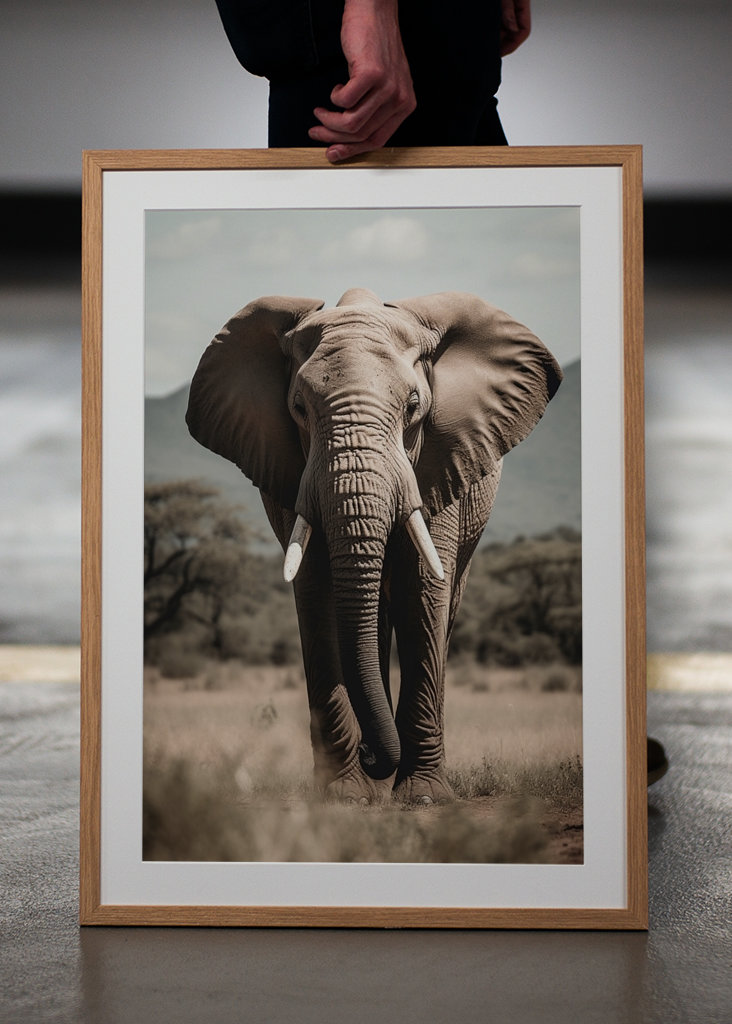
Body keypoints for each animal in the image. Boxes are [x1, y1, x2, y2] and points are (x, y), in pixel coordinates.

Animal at [186, 288, 562, 804]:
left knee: (442, 607)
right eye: (298, 407)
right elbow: (317, 591)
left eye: (413, 406)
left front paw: (423, 797)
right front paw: (346, 795)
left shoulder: (441, 461)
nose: (372, 754)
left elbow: (423, 592)